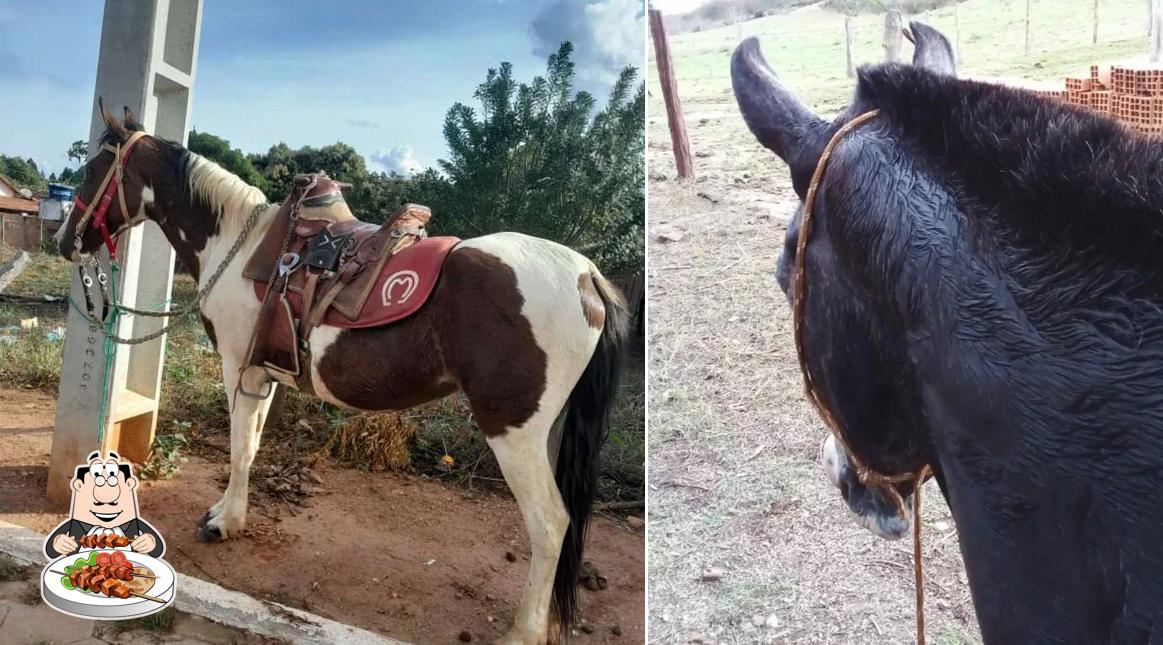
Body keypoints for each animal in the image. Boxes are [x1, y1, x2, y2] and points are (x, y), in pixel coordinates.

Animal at [60, 104, 628, 641]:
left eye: (92, 169)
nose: (67, 241)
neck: (239, 245)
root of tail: (586, 276)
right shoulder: (265, 373)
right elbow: (253, 446)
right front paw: (230, 513)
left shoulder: (238, 367)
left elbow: (239, 449)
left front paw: (224, 523)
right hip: (546, 432)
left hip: (513, 430)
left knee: (550, 524)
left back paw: (523, 632)